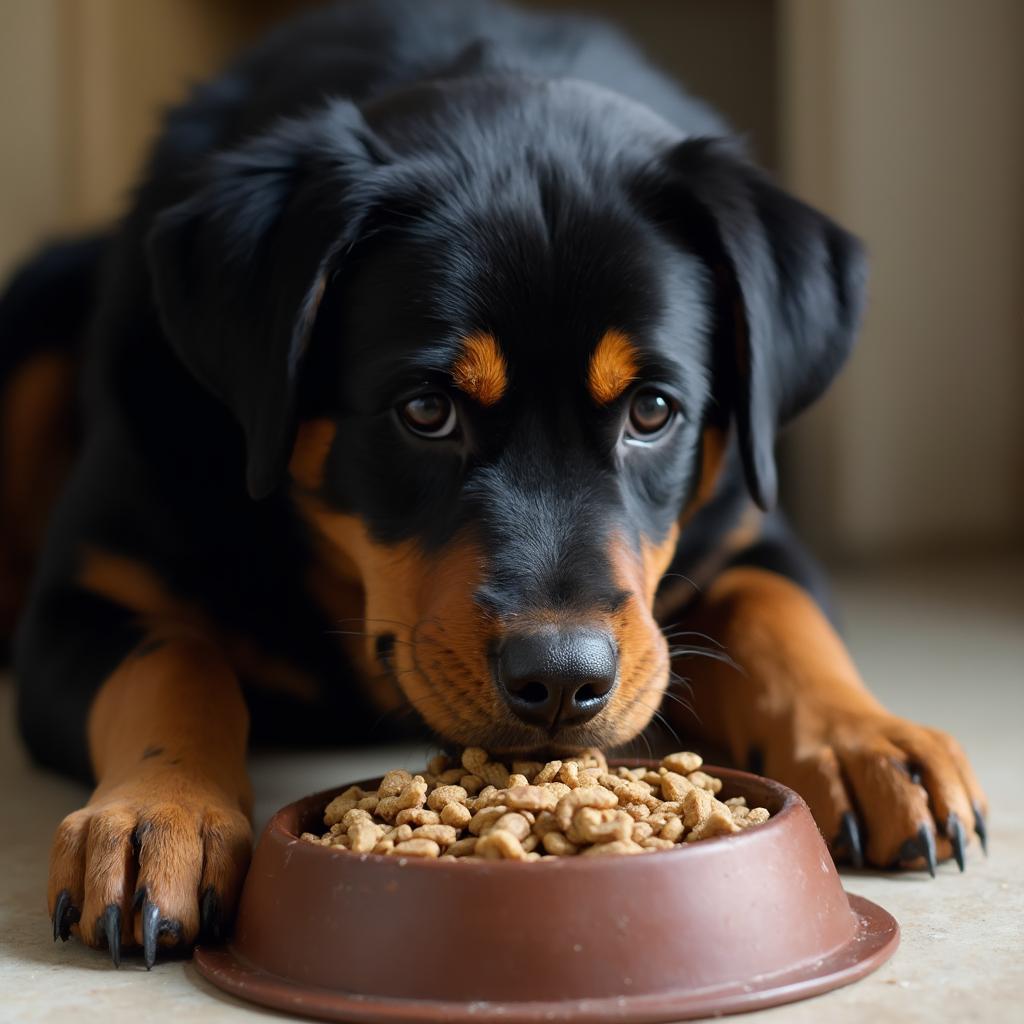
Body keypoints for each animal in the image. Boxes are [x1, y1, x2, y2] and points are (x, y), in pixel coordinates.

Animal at [2, 0, 991, 966]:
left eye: (653, 411)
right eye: (425, 410)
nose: (560, 679)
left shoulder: (752, 528)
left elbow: (776, 611)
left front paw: (868, 741)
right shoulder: (87, 596)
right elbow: (172, 659)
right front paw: (158, 814)